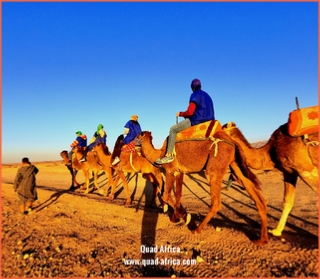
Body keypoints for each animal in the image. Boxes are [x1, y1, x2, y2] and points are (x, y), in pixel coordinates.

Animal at [136, 130, 268, 246]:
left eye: (138, 135)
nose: (133, 143)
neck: (159, 154)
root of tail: (232, 142)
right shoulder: (180, 171)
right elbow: (178, 195)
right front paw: (176, 217)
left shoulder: (170, 170)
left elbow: (166, 195)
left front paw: (182, 215)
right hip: (234, 165)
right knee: (253, 191)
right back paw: (262, 240)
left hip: (214, 167)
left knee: (216, 202)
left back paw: (197, 229)